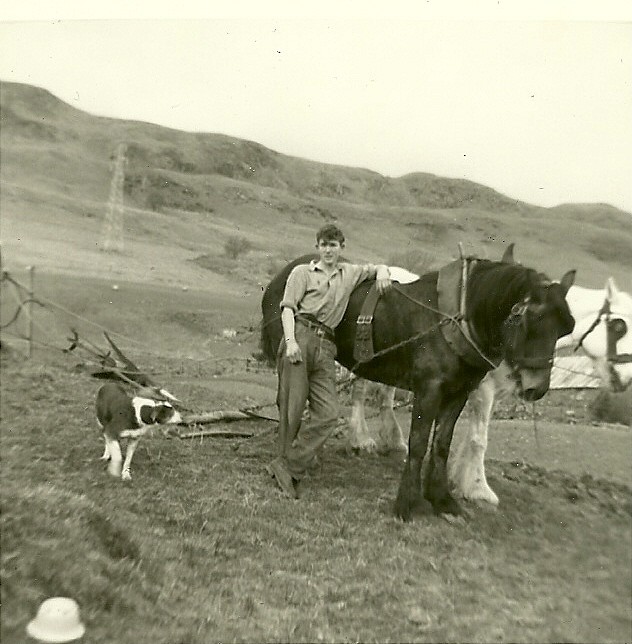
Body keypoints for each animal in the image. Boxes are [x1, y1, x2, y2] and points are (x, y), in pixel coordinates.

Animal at [260, 249, 576, 520]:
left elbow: (441, 445)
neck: (453, 320)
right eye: (531, 319)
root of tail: (285, 273)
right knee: (288, 401)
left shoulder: (458, 393)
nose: (537, 388)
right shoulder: (429, 391)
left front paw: (442, 500)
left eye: (566, 327)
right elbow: (419, 443)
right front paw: (406, 502)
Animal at [346, 274, 632, 506]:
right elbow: (478, 439)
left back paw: (391, 438)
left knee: (385, 394)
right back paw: (362, 438)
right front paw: (478, 488)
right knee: (360, 390)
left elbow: (464, 437)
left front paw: (459, 478)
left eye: (566, 326)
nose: (627, 379)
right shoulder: (484, 390)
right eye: (619, 326)